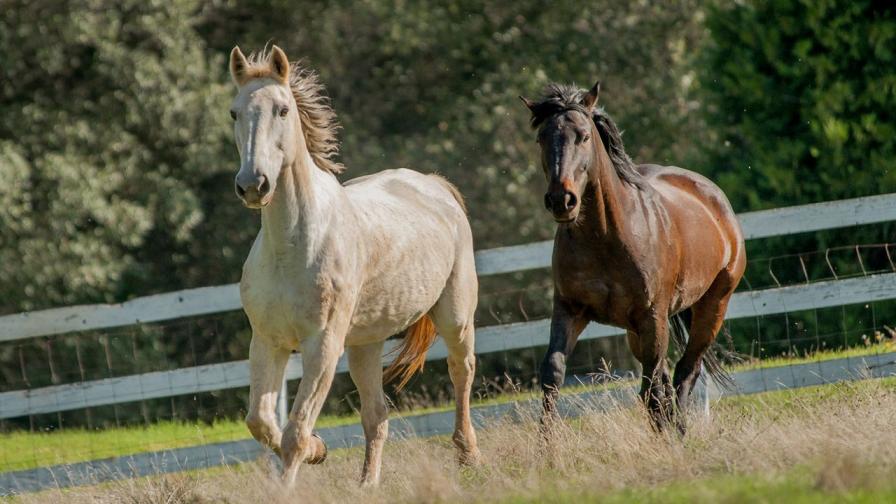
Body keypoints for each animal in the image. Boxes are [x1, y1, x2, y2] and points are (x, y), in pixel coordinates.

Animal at [231, 46, 484, 484]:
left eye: (282, 109)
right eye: (234, 112)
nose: (253, 185)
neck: (291, 248)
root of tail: (434, 185)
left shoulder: (323, 347)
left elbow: (295, 431)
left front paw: (296, 471)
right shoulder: (268, 340)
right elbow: (261, 422)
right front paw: (319, 451)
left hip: (455, 317)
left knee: (461, 370)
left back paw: (468, 455)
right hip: (366, 343)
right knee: (376, 416)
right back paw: (368, 484)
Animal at [520, 83, 744, 434]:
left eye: (584, 136)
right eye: (542, 138)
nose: (561, 200)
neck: (606, 238)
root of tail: (714, 198)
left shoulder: (651, 317)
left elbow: (653, 387)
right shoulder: (569, 310)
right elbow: (552, 373)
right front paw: (546, 445)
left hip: (711, 308)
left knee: (684, 372)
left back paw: (680, 432)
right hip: (637, 332)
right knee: (664, 379)